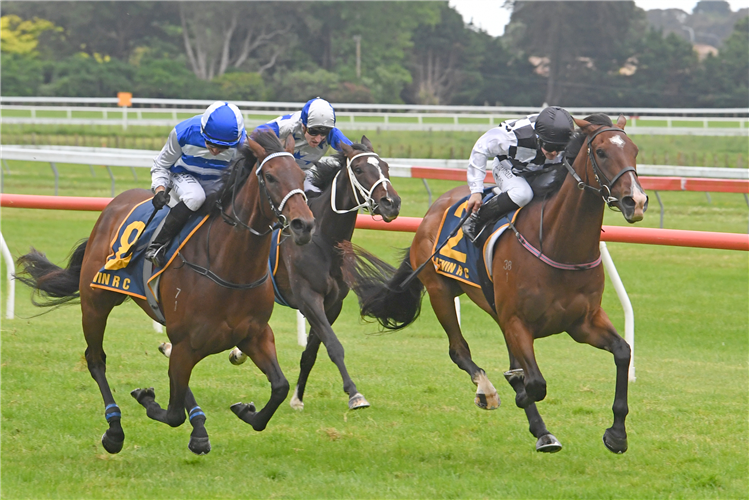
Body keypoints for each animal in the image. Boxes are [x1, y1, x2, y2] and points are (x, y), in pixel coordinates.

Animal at [15, 131, 312, 456]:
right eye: (270, 177)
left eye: (302, 174)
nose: (304, 225)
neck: (229, 266)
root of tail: (114, 204)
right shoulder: (187, 342)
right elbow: (172, 414)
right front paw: (145, 398)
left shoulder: (254, 335)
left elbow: (280, 387)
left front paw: (246, 410)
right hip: (95, 303)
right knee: (96, 359)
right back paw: (114, 429)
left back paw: (198, 429)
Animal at [226, 137, 404, 410]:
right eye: (359, 169)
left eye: (385, 166)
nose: (391, 203)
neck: (324, 239)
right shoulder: (309, 298)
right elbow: (333, 344)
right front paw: (355, 395)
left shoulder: (333, 304)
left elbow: (312, 351)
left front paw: (297, 398)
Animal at [342, 115, 644, 456]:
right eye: (602, 152)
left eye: (634, 150)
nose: (636, 200)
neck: (559, 245)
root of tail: (433, 210)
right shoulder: (516, 321)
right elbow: (534, 383)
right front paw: (516, 391)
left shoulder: (583, 322)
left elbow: (622, 351)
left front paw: (616, 433)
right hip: (440, 291)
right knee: (459, 350)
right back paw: (490, 392)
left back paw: (540, 429)